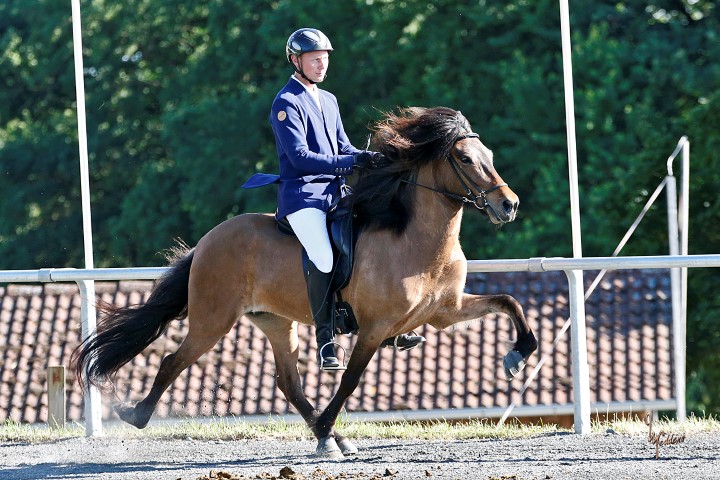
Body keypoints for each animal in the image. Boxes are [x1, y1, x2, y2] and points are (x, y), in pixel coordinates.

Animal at [74, 107, 536, 460]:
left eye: (488, 154)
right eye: (466, 160)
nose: (509, 205)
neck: (417, 239)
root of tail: (208, 240)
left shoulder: (445, 312)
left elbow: (508, 301)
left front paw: (519, 353)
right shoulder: (375, 328)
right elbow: (350, 380)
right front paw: (329, 425)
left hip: (275, 322)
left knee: (289, 383)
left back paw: (332, 438)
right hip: (213, 320)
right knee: (174, 361)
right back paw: (137, 415)